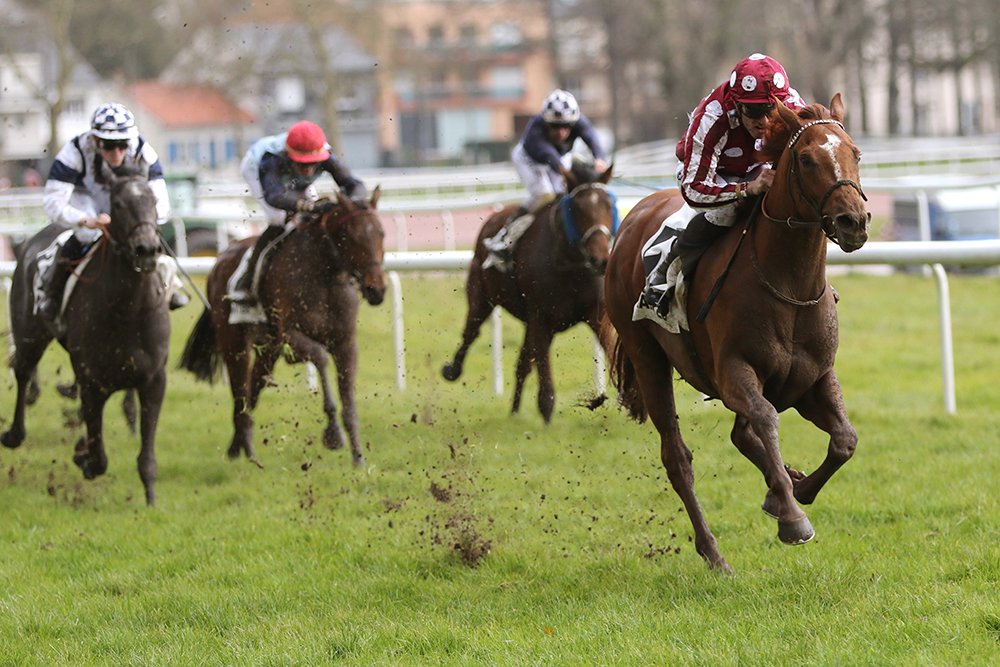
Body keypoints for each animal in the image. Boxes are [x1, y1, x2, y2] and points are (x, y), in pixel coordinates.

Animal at [0, 168, 169, 506]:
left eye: (153, 200)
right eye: (118, 204)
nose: (146, 249)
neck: (127, 310)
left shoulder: (154, 380)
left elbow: (146, 455)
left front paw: (151, 500)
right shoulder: (93, 382)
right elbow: (99, 455)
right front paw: (85, 458)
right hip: (30, 334)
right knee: (23, 371)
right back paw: (14, 433)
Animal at [178, 190, 384, 468]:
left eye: (381, 233)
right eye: (350, 236)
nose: (376, 290)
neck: (324, 275)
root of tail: (219, 260)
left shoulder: (345, 343)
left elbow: (349, 401)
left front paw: (359, 459)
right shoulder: (290, 334)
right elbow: (320, 357)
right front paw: (333, 434)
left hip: (268, 350)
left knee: (252, 391)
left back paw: (239, 448)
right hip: (234, 343)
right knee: (240, 394)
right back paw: (247, 453)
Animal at [604, 96, 872, 572]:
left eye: (855, 153)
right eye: (806, 159)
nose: (852, 222)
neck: (787, 285)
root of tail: (633, 217)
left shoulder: (814, 378)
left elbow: (845, 440)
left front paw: (794, 489)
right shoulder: (733, 372)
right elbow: (765, 419)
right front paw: (792, 517)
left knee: (740, 436)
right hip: (646, 356)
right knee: (677, 457)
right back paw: (714, 553)